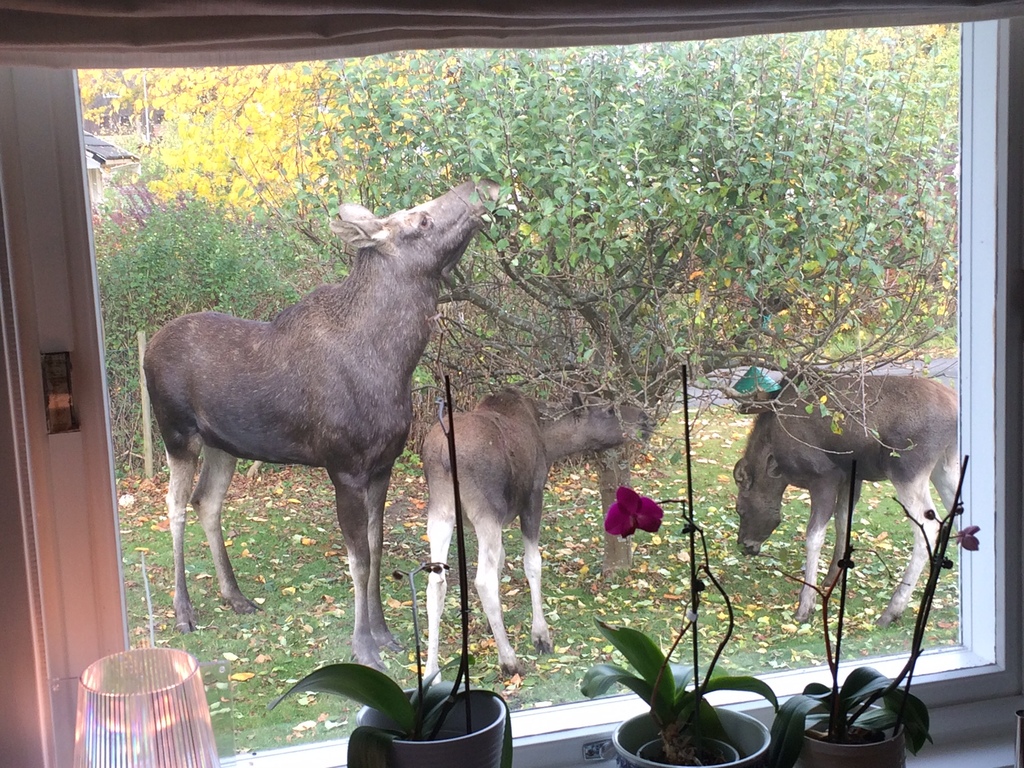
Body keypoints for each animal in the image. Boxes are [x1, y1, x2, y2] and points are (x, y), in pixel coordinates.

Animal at [143, 179, 499, 670]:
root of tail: (147, 348)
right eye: (422, 219)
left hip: (223, 445)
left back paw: (236, 596)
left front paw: (386, 634)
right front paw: (364, 646)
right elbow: (358, 559)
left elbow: (376, 546)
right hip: (178, 434)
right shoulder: (343, 466)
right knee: (174, 507)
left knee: (206, 502)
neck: (395, 363)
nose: (484, 185)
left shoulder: (382, 465)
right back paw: (184, 612)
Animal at [422, 388, 652, 677]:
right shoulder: (532, 498)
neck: (549, 441)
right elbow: (532, 563)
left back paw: (431, 671)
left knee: (435, 583)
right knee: (483, 581)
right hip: (486, 510)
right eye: (609, 409)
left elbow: (501, 561)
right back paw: (509, 660)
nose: (645, 419)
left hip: (440, 511)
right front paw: (540, 635)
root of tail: (442, 455)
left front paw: (489, 625)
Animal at [730, 374, 959, 626]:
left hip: (906, 468)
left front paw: (805, 605)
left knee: (928, 526)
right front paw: (833, 578)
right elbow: (843, 521)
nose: (745, 545)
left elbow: (814, 537)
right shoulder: (851, 476)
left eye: (740, 509)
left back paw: (891, 610)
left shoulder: (824, 476)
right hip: (944, 464)